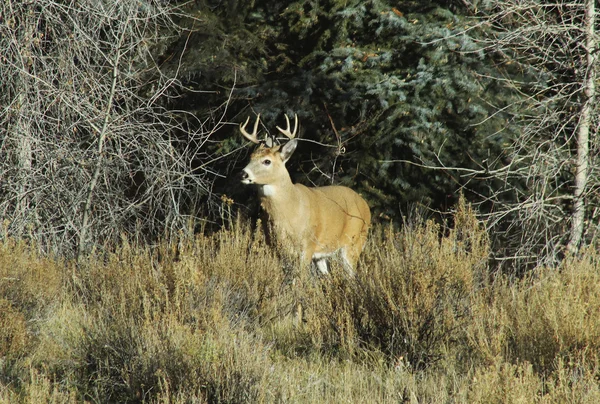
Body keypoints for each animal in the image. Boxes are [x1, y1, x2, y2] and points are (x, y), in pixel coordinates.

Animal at [239, 115, 370, 276]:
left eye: (267, 161)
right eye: (250, 157)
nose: (243, 174)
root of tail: (364, 203)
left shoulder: (307, 245)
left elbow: (300, 278)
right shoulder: (277, 248)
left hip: (354, 242)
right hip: (323, 254)